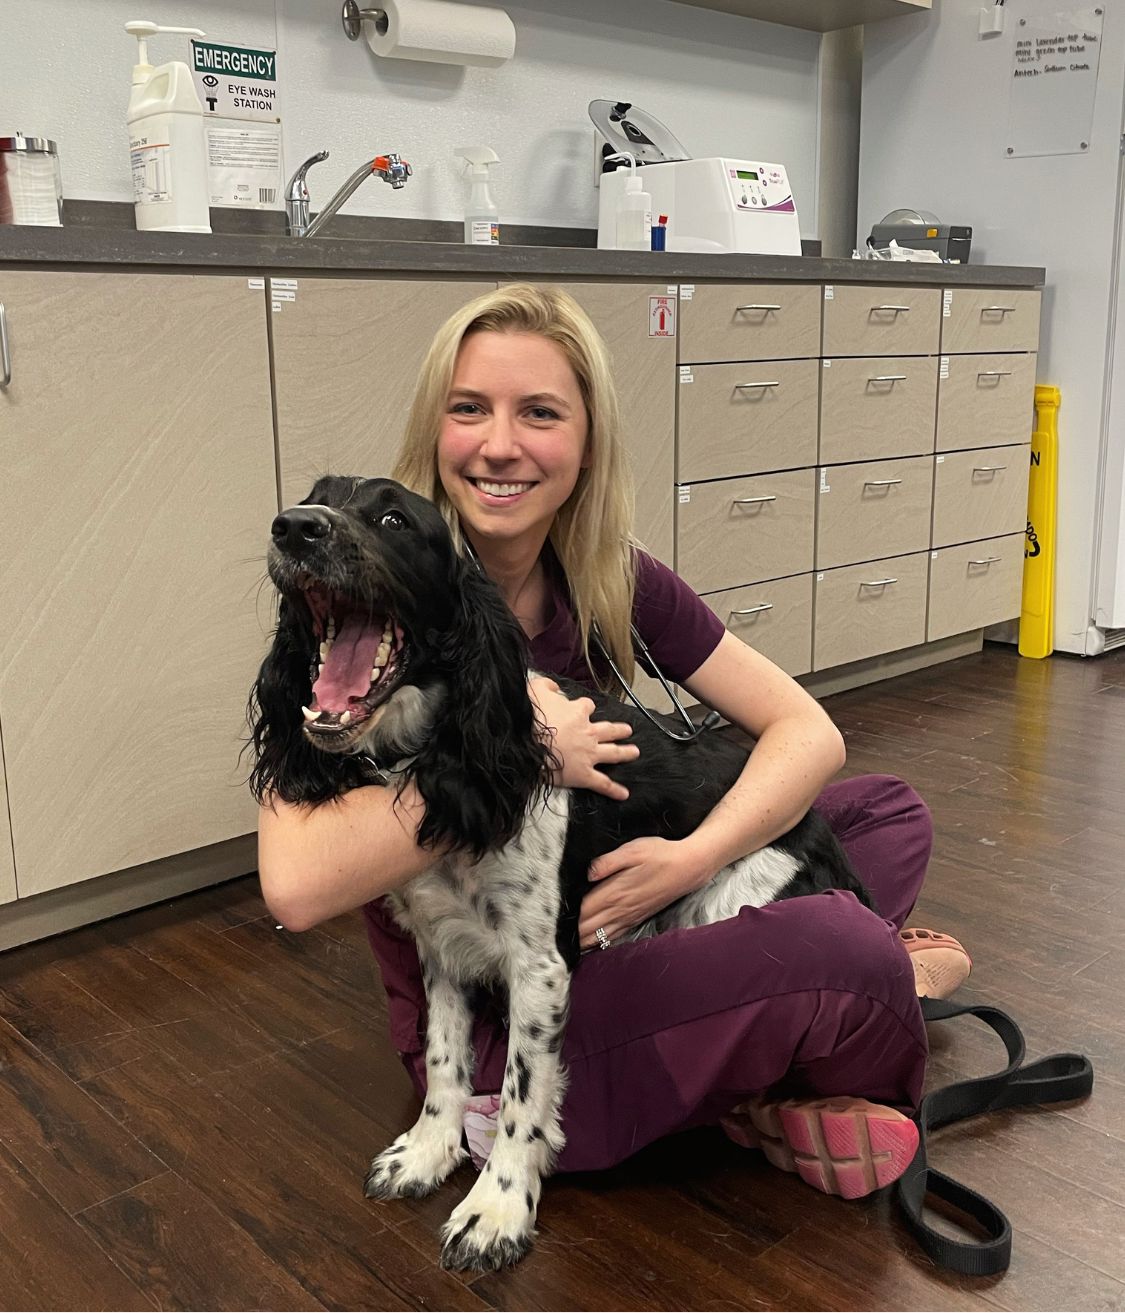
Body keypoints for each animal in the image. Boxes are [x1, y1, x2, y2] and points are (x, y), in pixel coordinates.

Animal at [250, 477, 871, 1265]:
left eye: (393, 518)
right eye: (315, 495)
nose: (294, 527)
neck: (445, 757)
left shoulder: (538, 965)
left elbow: (520, 1091)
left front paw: (496, 1209)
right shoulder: (442, 946)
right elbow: (445, 1060)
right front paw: (427, 1151)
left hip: (733, 896)